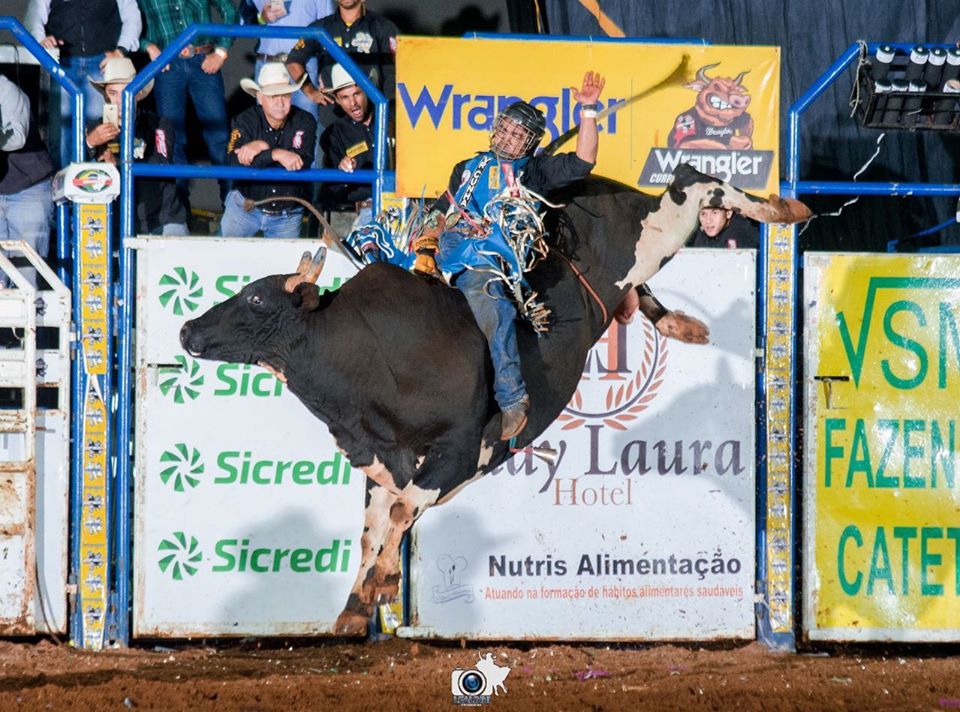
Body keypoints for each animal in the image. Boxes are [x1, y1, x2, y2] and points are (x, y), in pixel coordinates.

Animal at [180, 167, 808, 636]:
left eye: (256, 299)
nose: (187, 329)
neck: (367, 353)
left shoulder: (458, 450)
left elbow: (404, 513)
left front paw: (383, 583)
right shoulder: (382, 461)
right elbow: (375, 526)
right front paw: (357, 608)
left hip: (656, 232)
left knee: (692, 183)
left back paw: (782, 210)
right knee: (649, 278)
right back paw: (684, 323)